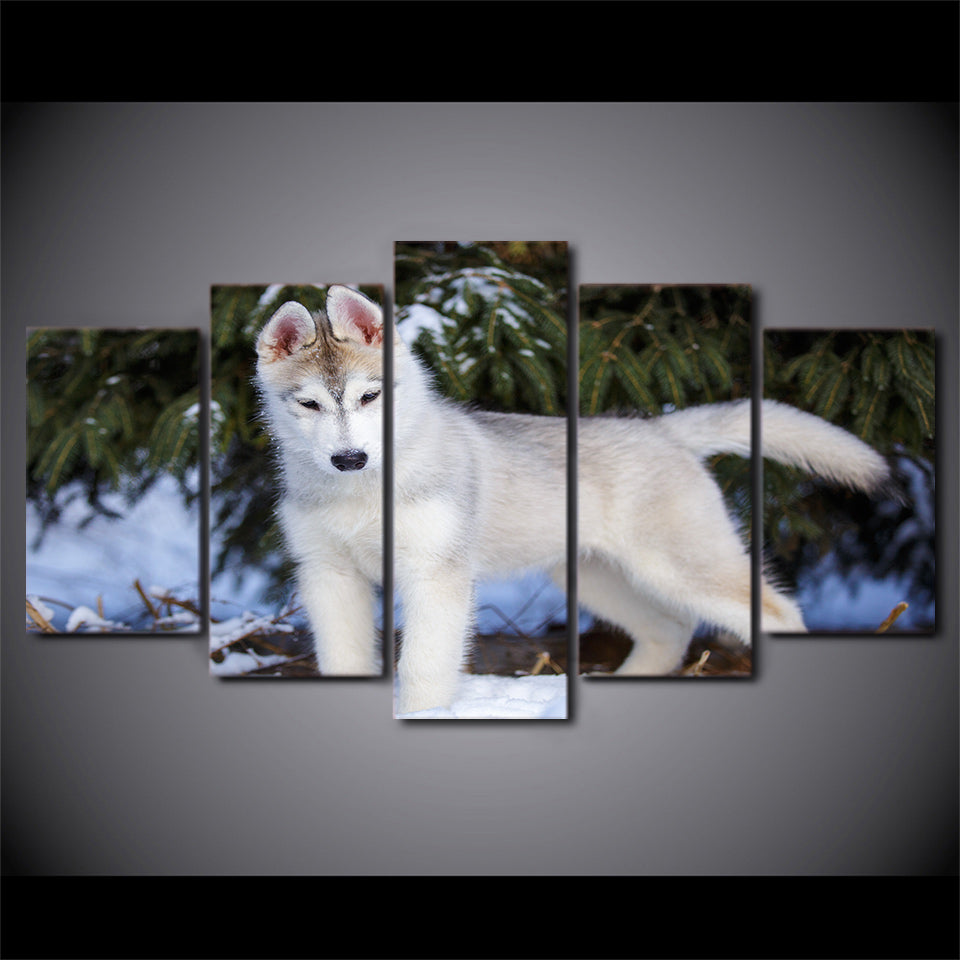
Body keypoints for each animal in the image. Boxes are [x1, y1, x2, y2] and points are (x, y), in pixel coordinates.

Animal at [255, 285, 891, 714]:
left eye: (371, 396)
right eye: (309, 404)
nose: (350, 459)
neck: (360, 494)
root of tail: (664, 431)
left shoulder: (436, 574)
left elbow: (423, 672)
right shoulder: (329, 576)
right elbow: (344, 659)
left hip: (682, 565)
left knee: (778, 612)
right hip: (596, 574)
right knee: (669, 631)